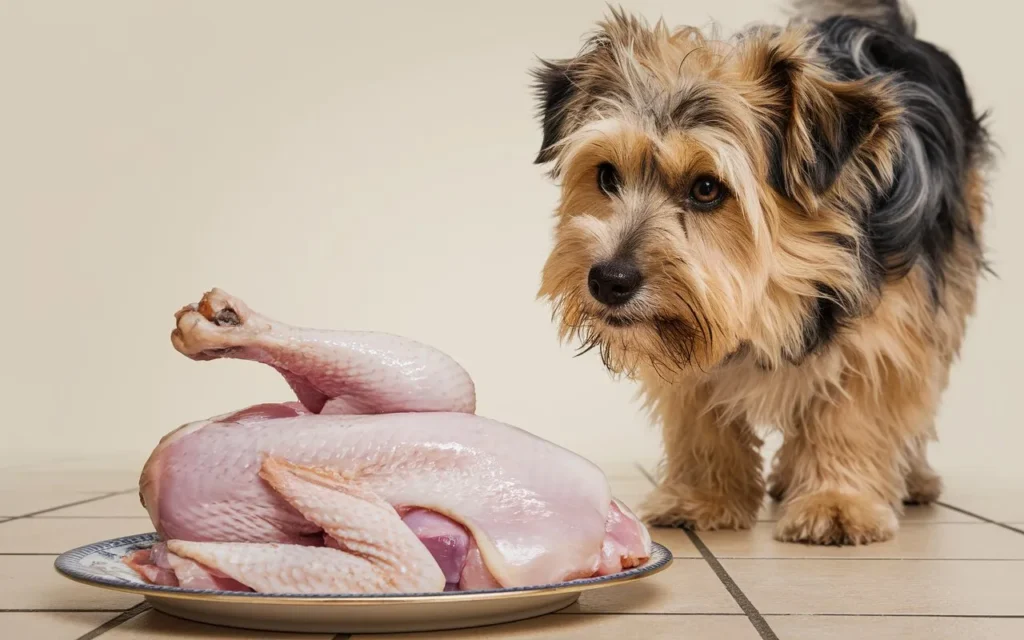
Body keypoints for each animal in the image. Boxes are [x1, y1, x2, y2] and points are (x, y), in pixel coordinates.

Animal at [536, 1, 991, 544]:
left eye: (707, 188)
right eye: (606, 176)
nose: (608, 281)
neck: (781, 288)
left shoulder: (887, 325)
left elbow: (856, 410)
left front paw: (837, 502)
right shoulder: (696, 324)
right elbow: (701, 415)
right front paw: (703, 499)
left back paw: (911, 478)